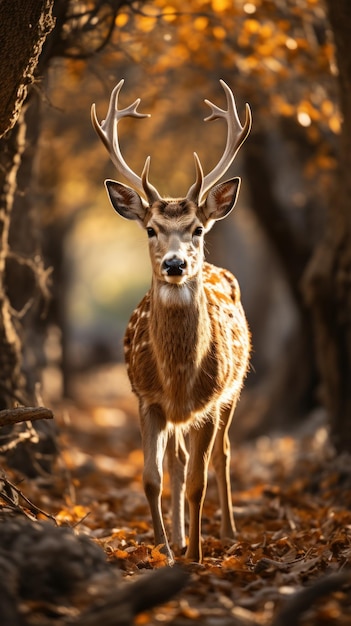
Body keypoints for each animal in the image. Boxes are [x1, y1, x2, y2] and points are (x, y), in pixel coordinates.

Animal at [91, 78, 253, 560]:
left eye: (197, 229)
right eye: (151, 229)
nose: (176, 263)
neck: (179, 374)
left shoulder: (211, 401)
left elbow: (199, 481)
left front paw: (196, 557)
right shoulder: (147, 398)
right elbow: (151, 477)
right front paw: (164, 550)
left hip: (234, 388)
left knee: (222, 454)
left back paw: (227, 533)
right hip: (179, 413)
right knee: (179, 461)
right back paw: (179, 538)